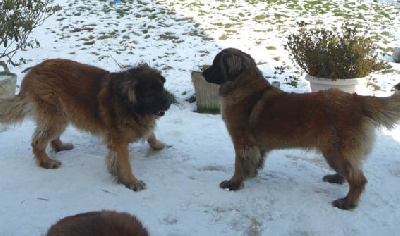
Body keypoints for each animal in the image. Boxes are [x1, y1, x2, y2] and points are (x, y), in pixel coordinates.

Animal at [0, 58, 170, 190]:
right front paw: (131, 181)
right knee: (37, 141)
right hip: (56, 117)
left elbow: (150, 133)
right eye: (150, 93)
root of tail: (31, 72)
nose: (168, 105)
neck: (128, 102)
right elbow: (124, 162)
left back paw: (60, 146)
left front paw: (156, 144)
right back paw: (46, 162)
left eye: (161, 89)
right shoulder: (118, 140)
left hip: (62, 114)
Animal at [205, 47, 400, 209]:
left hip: (335, 150)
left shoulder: (242, 141)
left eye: (215, 64)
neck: (243, 85)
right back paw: (336, 179)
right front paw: (250, 174)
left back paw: (347, 203)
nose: (203, 72)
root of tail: (357, 100)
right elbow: (255, 160)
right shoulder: (256, 145)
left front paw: (233, 183)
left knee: (358, 180)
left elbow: (239, 164)